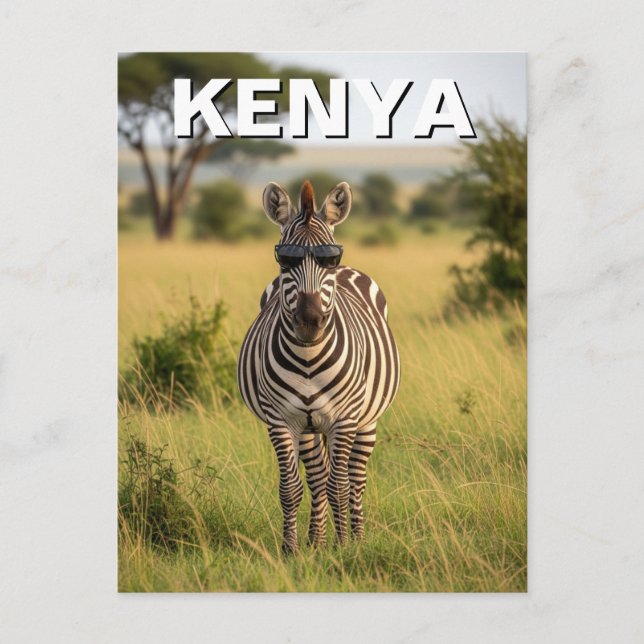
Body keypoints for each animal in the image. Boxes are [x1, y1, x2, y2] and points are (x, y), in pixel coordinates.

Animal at [238, 180, 400, 554]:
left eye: (330, 260)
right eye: (284, 260)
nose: (310, 321)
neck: (309, 357)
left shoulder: (344, 418)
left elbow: (339, 485)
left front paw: (344, 547)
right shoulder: (280, 421)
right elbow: (291, 488)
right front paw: (292, 549)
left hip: (366, 421)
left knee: (355, 478)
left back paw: (355, 535)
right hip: (309, 427)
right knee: (316, 476)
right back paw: (316, 540)